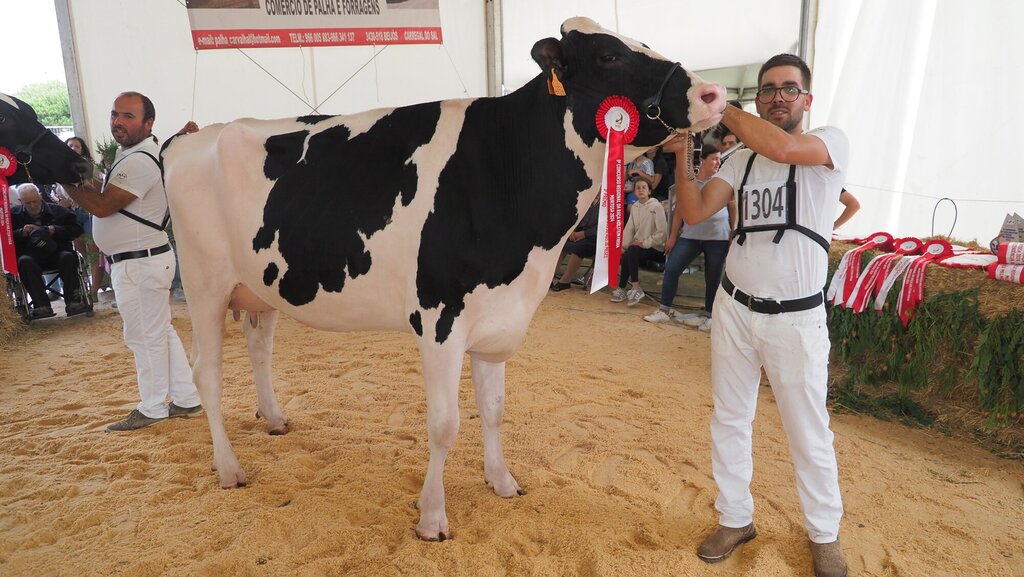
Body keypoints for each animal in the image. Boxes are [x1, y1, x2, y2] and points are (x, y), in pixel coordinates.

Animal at [162, 17, 725, 541]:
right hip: (204, 283)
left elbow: (494, 410)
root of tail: (189, 136)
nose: (713, 94)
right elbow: (444, 425)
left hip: (260, 287)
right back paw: (229, 468)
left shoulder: (498, 316)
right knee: (207, 373)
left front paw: (502, 482)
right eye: (609, 55)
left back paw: (275, 420)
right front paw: (432, 516)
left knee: (259, 350)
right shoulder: (440, 320)